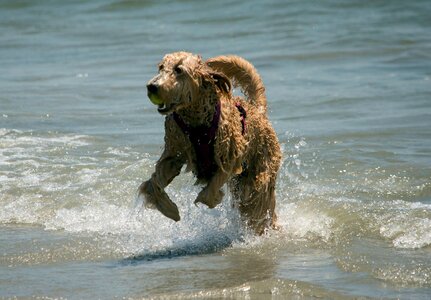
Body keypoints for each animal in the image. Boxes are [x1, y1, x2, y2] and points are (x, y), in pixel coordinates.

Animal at [140, 52, 284, 234]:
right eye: (161, 67)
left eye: (178, 70)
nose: (152, 86)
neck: (196, 123)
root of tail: (257, 110)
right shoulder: (173, 154)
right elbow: (155, 182)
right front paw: (169, 209)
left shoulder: (230, 157)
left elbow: (211, 189)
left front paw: (213, 197)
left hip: (260, 171)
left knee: (258, 201)